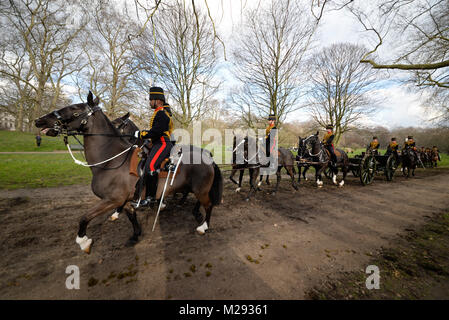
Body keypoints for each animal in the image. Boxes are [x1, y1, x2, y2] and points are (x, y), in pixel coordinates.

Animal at [34, 91, 222, 254]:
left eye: (74, 109)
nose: (39, 121)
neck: (111, 160)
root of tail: (207, 156)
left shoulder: (112, 199)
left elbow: (84, 217)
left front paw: (83, 241)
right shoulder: (123, 200)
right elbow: (131, 216)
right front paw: (135, 235)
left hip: (201, 190)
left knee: (208, 205)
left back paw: (203, 226)